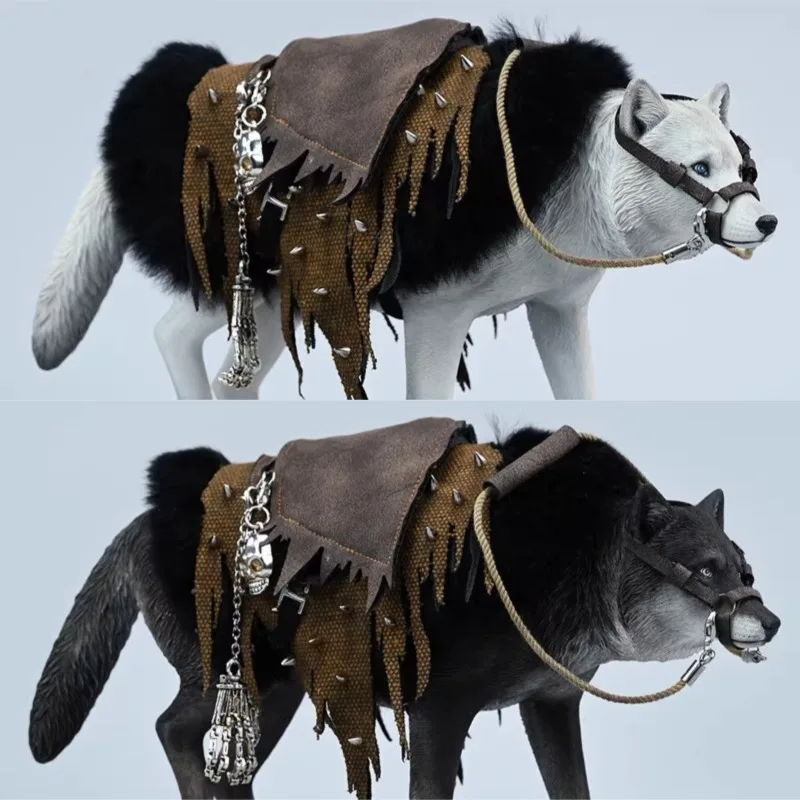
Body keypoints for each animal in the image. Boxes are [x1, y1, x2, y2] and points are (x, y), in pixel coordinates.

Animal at [28, 427, 781, 798]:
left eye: (744, 570)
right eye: (704, 569)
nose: (770, 621)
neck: (579, 554)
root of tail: (142, 520)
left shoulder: (549, 702)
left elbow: (573, 790)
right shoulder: (439, 710)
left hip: (280, 692)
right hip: (244, 678)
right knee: (175, 731)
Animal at [30, 24, 777, 401]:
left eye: (743, 168)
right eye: (699, 170)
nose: (766, 222)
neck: (569, 174)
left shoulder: (558, 311)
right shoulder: (435, 318)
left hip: (280, 299)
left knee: (224, 374)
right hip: (242, 283)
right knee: (172, 336)